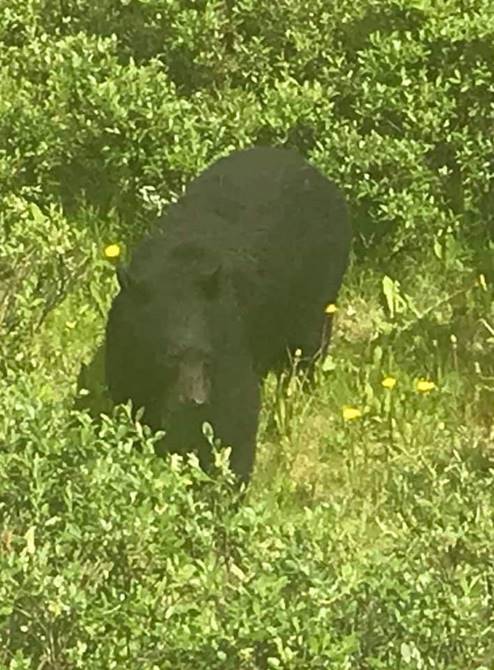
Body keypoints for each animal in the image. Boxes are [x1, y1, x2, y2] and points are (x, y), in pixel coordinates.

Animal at [104, 146, 351, 484]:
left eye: (205, 354)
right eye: (170, 356)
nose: (196, 399)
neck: (176, 270)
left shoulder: (226, 334)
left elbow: (236, 409)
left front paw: (229, 480)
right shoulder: (124, 341)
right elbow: (129, 396)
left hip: (317, 280)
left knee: (309, 340)